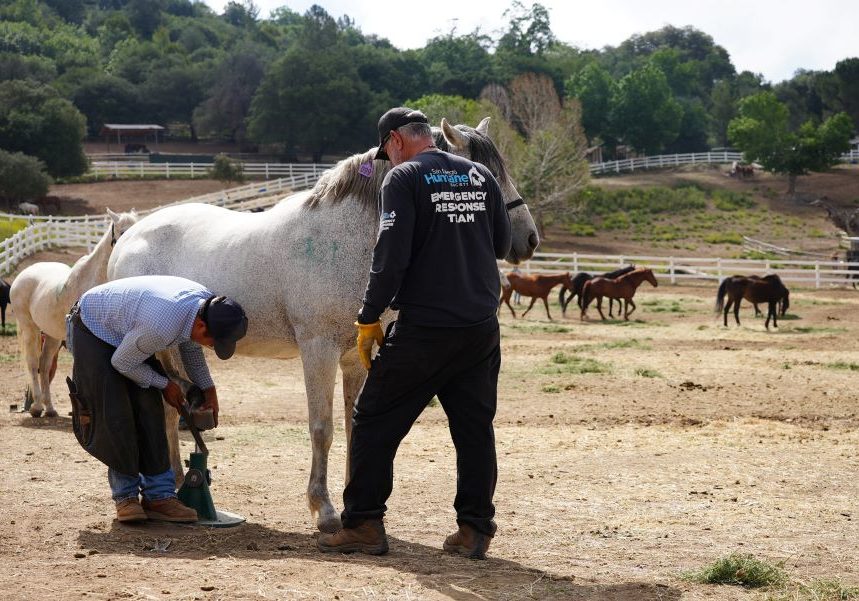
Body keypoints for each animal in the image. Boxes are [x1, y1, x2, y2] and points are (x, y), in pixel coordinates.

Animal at [9, 209, 139, 418]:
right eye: (123, 232)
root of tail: (24, 274)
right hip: (30, 329)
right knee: (33, 364)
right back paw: (37, 407)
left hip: (52, 336)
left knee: (44, 366)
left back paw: (50, 408)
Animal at [106, 117, 540, 533]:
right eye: (485, 175)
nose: (529, 238)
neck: (345, 236)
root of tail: (129, 237)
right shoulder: (319, 349)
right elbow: (322, 429)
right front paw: (325, 510)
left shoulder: (356, 357)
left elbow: (355, 426)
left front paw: (353, 507)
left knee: (168, 407)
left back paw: (179, 495)